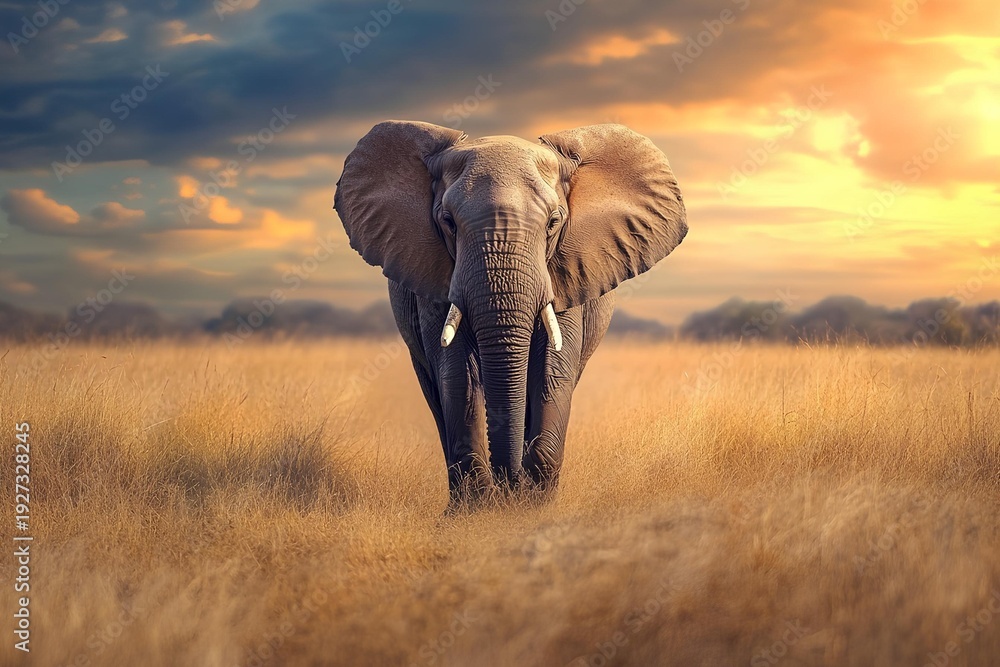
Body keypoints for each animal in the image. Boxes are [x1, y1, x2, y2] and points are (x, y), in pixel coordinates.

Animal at [334, 121, 687, 507]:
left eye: (553, 223)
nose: (510, 484)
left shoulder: (566, 271)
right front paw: (478, 509)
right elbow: (457, 373)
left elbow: (552, 369)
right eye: (448, 222)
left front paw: (532, 506)